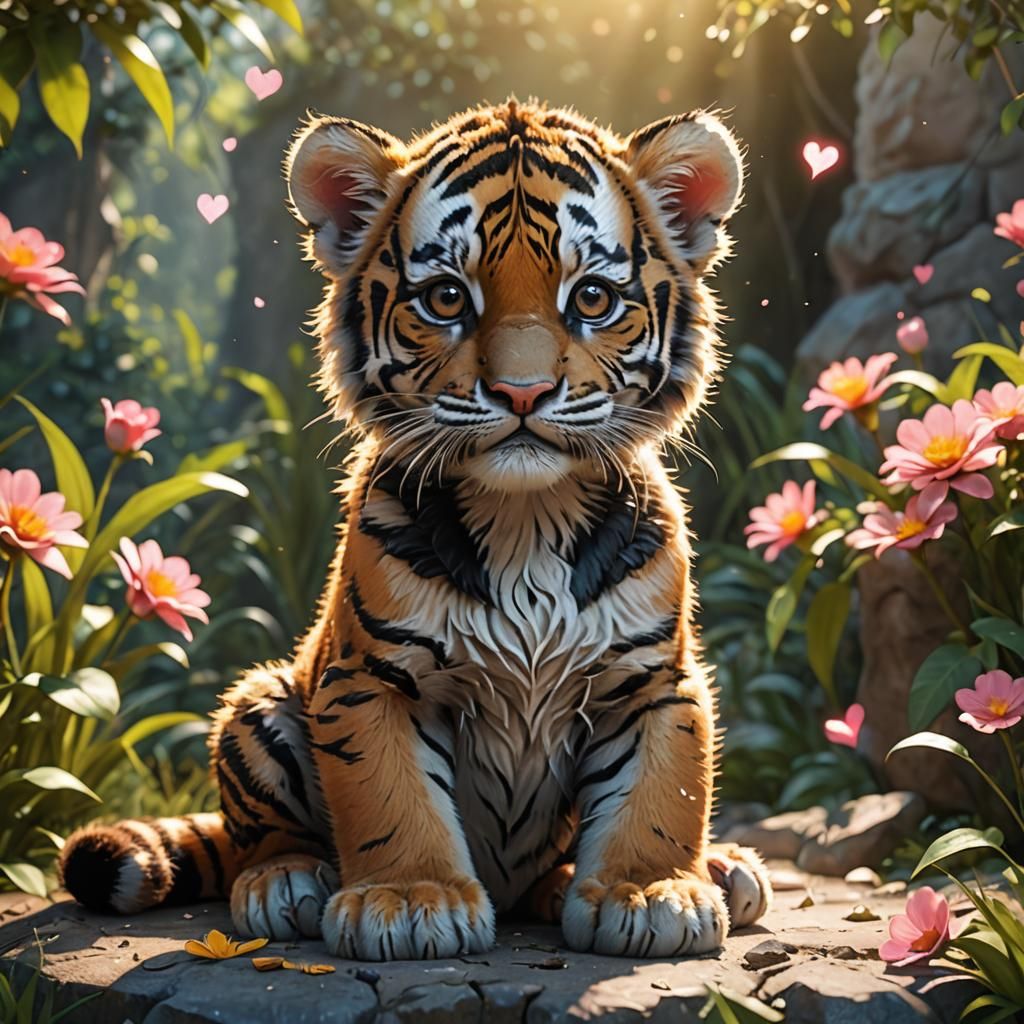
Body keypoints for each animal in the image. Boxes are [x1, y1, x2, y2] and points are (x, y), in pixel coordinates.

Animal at [59, 99, 771, 962]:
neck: (525, 519)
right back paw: (285, 883)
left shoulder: (652, 680)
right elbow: (390, 797)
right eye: (446, 299)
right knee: (259, 837)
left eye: (594, 298)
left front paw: (651, 890)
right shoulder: (370, 680)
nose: (522, 392)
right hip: (258, 706)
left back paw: (716, 868)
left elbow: (663, 792)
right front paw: (406, 901)